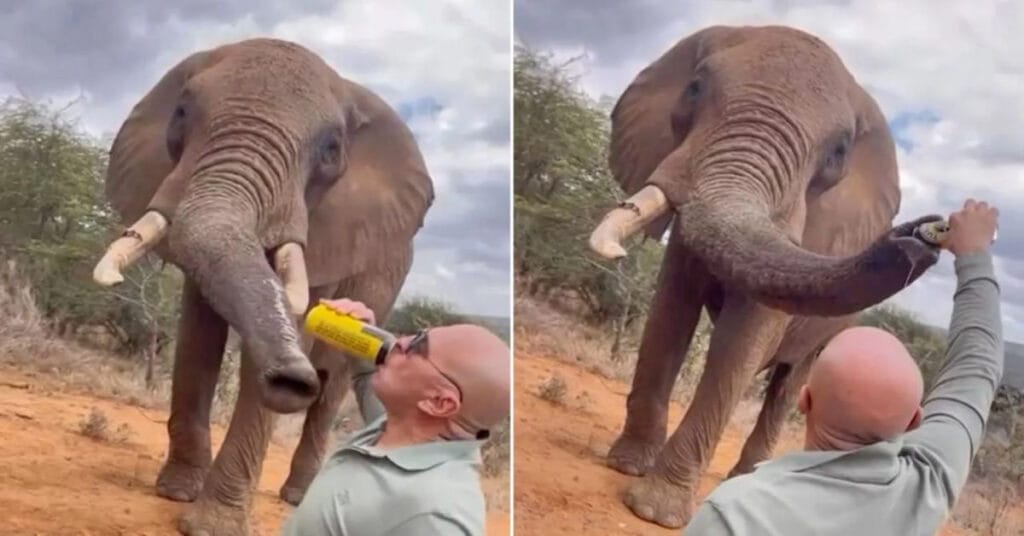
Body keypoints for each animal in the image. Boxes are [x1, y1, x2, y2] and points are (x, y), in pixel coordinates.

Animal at [91, 38, 434, 535]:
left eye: (331, 149)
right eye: (181, 113)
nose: (292, 379)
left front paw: (212, 525)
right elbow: (198, 336)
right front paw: (175, 492)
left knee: (333, 382)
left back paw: (297, 495)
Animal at [586, 25, 942, 528]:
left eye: (837, 153)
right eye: (694, 88)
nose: (924, 233)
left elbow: (744, 337)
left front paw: (656, 511)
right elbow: (671, 311)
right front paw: (627, 466)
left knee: (790, 382)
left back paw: (752, 475)